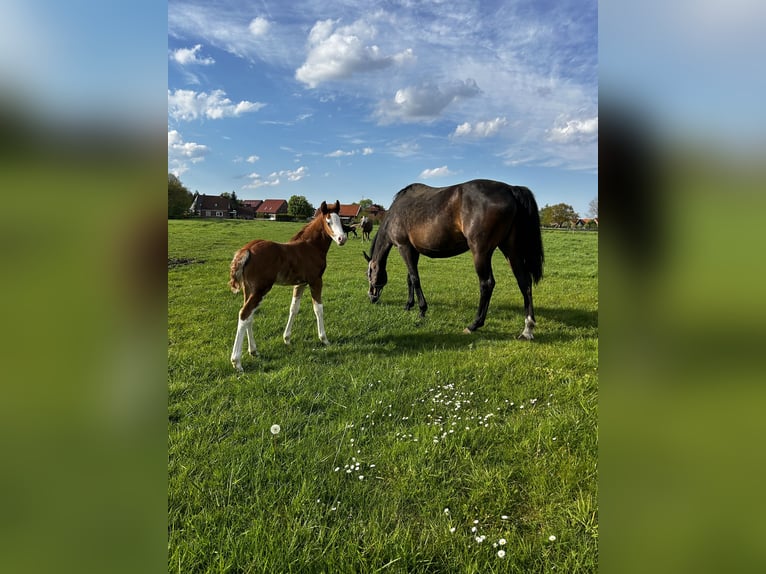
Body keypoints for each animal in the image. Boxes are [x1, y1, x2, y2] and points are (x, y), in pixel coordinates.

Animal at [228, 202, 348, 374]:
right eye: (328, 222)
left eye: (340, 220)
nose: (342, 238)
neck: (310, 247)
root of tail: (247, 250)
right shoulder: (315, 281)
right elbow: (318, 309)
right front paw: (324, 339)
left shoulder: (300, 283)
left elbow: (294, 308)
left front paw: (287, 338)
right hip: (260, 290)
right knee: (244, 314)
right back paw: (237, 362)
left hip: (249, 289)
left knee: (249, 316)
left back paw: (253, 351)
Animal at [366, 180, 544, 340]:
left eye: (368, 274)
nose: (371, 296)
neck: (395, 213)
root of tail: (510, 189)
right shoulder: (413, 251)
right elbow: (410, 278)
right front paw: (408, 305)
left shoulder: (404, 248)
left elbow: (415, 279)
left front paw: (422, 310)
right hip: (510, 250)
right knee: (524, 282)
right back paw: (527, 330)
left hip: (481, 252)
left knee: (487, 284)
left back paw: (474, 324)